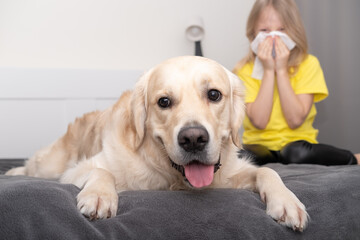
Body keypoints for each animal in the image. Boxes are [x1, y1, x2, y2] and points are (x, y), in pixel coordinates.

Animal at [6, 55, 306, 231]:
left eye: (214, 94)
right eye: (164, 101)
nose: (193, 139)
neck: (171, 177)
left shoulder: (230, 175)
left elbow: (268, 171)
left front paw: (287, 201)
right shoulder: (77, 170)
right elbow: (102, 171)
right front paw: (100, 196)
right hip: (50, 165)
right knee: (32, 166)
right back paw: (13, 171)